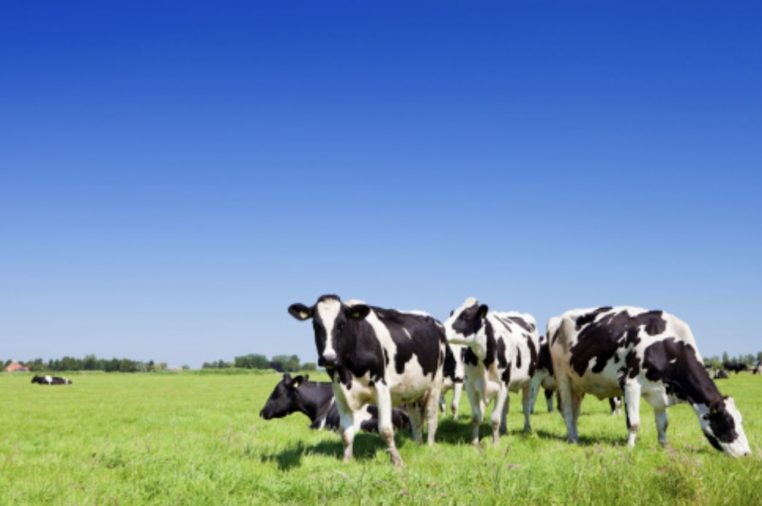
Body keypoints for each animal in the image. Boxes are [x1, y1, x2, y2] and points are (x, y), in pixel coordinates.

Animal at [288, 295, 445, 467]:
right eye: (316, 325)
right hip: (412, 391)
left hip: (435, 383)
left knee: (431, 416)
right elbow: (345, 431)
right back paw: (417, 444)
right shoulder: (339, 391)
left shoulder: (381, 387)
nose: (328, 358)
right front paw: (346, 461)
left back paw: (429, 446)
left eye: (341, 324)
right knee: (416, 419)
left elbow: (386, 429)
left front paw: (397, 462)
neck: (348, 373)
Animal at [443, 297, 542, 445]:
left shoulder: (502, 386)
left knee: (525, 406)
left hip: (528, 381)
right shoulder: (471, 386)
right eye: (451, 314)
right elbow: (476, 416)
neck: (485, 358)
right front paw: (475, 442)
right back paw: (503, 429)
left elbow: (495, 418)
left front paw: (495, 443)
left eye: (465, 316)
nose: (440, 329)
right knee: (506, 407)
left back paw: (527, 428)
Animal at [550, 306, 751, 457]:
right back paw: (573, 440)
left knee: (575, 412)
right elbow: (634, 422)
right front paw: (630, 448)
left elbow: (663, 424)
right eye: (727, 421)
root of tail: (558, 319)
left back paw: (574, 436)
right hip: (562, 377)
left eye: (740, 420)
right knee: (567, 410)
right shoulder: (630, 383)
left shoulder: (660, 391)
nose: (747, 453)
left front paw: (664, 446)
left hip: (578, 384)